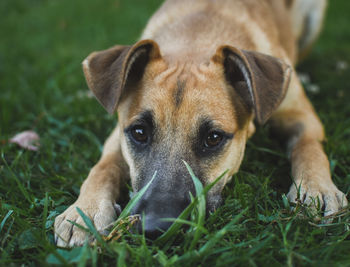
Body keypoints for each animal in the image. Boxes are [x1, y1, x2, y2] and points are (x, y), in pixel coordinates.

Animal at [54, 0, 348, 247]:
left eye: (213, 138)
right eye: (139, 133)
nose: (156, 230)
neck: (195, 40)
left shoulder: (301, 117)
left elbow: (309, 148)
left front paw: (317, 188)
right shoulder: (118, 132)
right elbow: (102, 167)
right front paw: (85, 212)